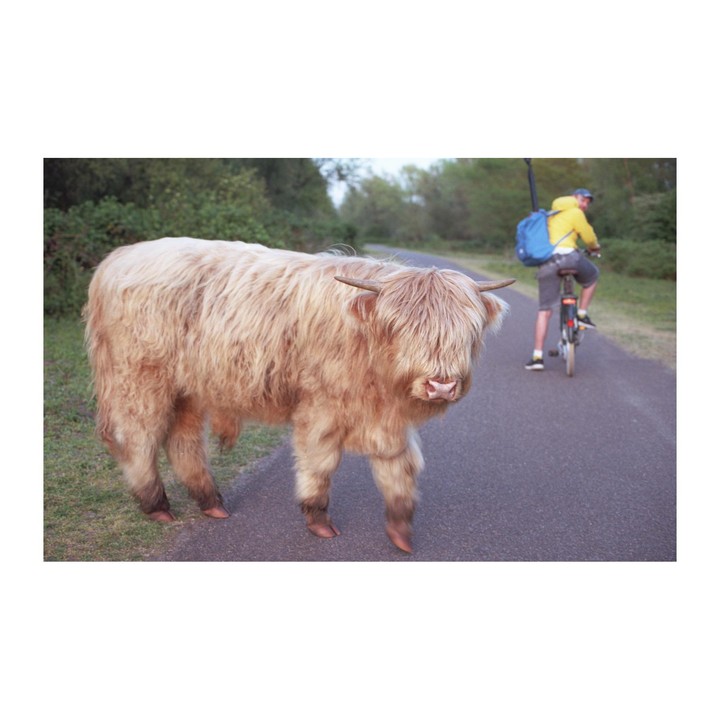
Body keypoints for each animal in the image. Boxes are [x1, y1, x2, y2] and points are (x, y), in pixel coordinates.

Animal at [83, 237, 514, 553]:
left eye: (467, 330)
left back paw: (211, 503)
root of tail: (119, 257)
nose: (440, 385)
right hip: (140, 379)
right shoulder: (319, 408)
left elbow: (399, 467)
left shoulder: (387, 418)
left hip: (188, 387)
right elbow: (319, 462)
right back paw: (156, 506)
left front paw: (401, 529)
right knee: (138, 438)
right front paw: (318, 519)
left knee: (182, 440)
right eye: (401, 327)